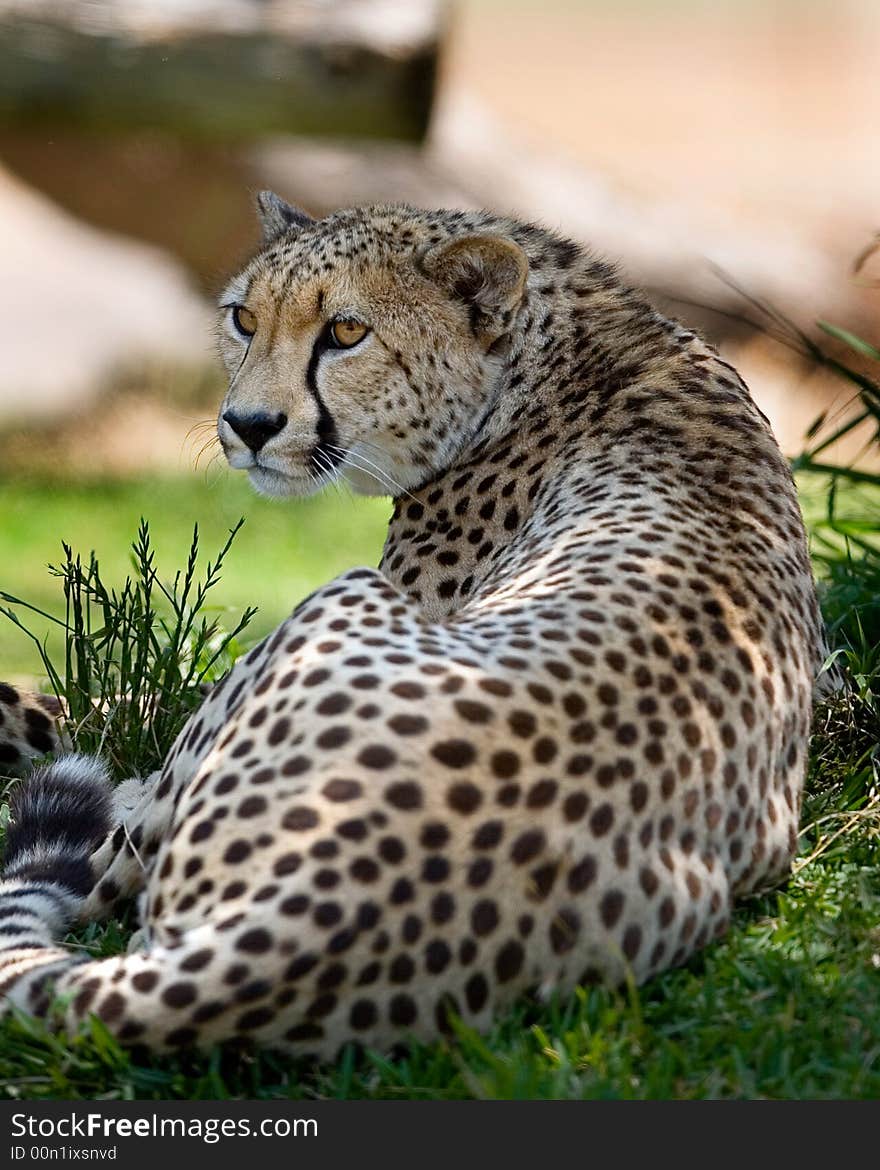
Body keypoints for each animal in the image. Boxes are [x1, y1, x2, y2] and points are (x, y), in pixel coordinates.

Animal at [0, 196, 823, 1057]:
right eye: (243, 319)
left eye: (346, 333)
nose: (248, 425)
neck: (547, 355)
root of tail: (290, 931)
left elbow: (117, 715)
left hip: (328, 609)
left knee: (100, 872)